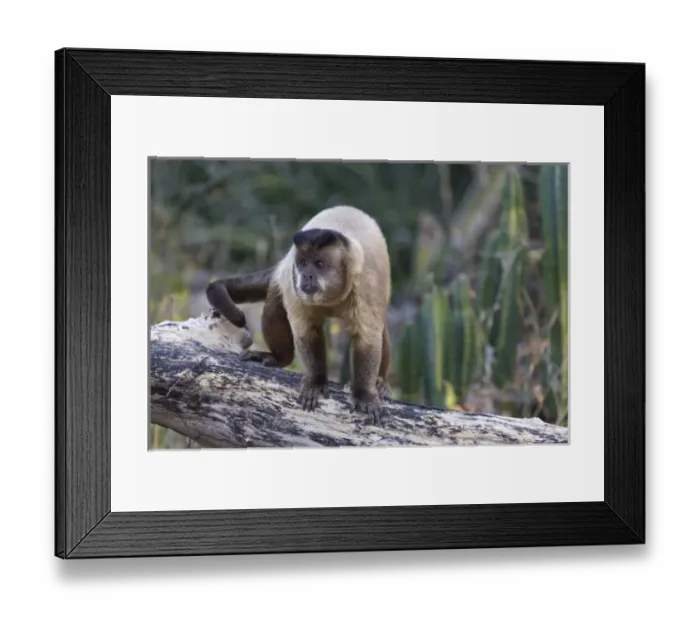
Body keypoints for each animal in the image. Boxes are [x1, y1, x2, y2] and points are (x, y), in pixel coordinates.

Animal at [205, 205, 392, 424]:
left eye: (319, 264)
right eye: (303, 263)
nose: (307, 275)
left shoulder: (366, 285)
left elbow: (367, 338)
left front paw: (364, 394)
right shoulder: (293, 283)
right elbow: (306, 332)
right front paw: (316, 383)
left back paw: (379, 382)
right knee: (275, 301)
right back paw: (280, 358)